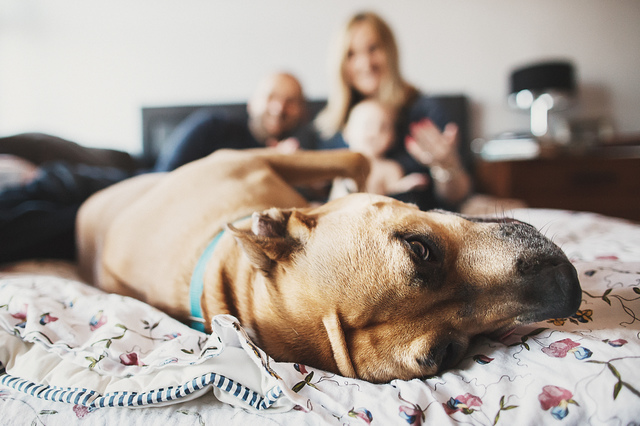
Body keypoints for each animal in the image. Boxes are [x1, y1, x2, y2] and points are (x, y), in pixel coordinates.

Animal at [77, 149, 584, 382]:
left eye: (419, 249)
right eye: (444, 355)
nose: (567, 288)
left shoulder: (247, 158)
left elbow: (356, 162)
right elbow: (358, 159)